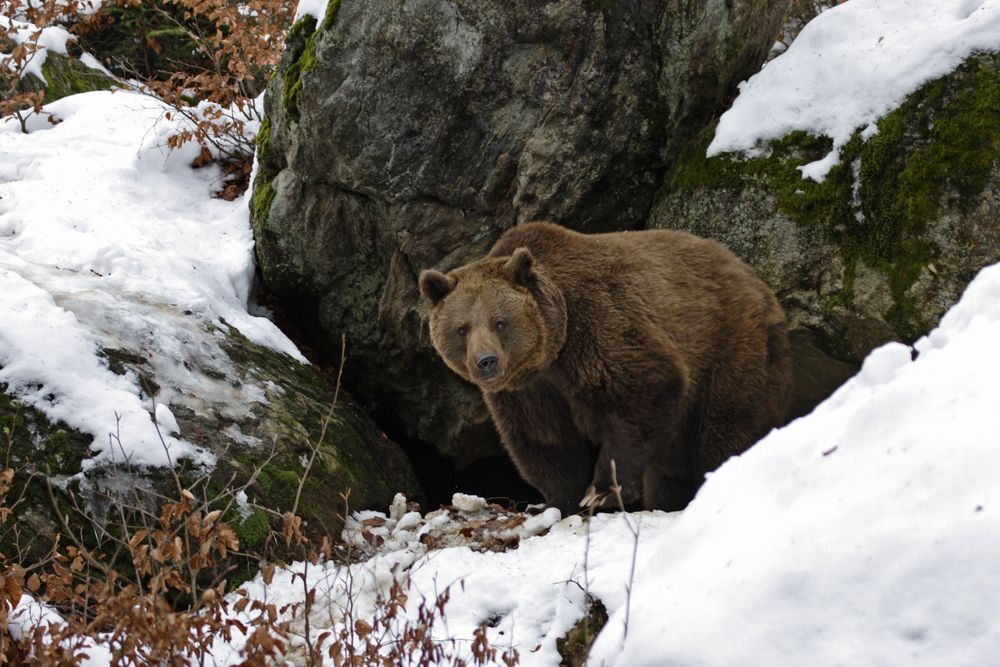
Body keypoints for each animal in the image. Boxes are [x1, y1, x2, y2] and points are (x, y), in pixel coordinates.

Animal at [419, 222, 791, 515]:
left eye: (500, 322)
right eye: (462, 328)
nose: (486, 361)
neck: (551, 351)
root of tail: (755, 280)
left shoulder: (598, 329)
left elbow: (645, 389)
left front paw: (601, 492)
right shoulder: (529, 390)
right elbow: (545, 439)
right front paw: (560, 500)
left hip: (729, 344)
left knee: (724, 428)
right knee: (670, 467)